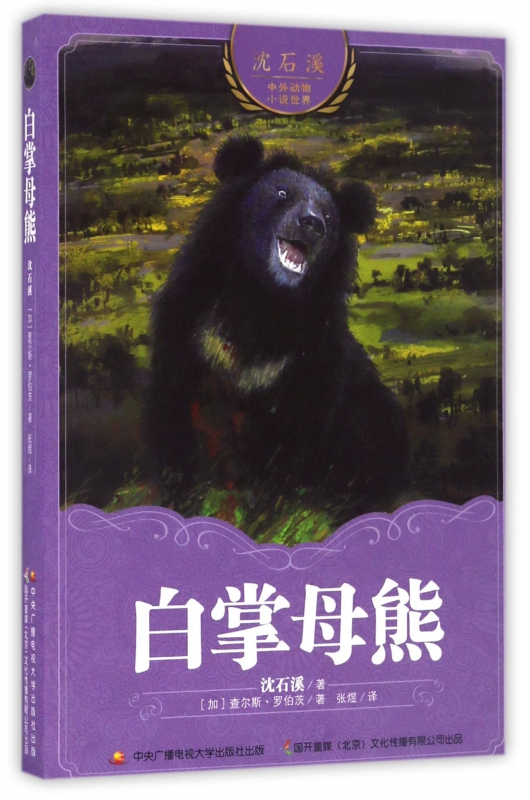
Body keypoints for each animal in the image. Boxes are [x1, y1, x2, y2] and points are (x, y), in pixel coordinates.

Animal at [147, 135, 408, 527]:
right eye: (283, 194)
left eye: (328, 215)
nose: (312, 224)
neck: (263, 297)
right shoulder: (188, 325)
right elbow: (174, 408)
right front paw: (180, 495)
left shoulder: (312, 356)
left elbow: (294, 436)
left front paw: (266, 513)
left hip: (372, 412)